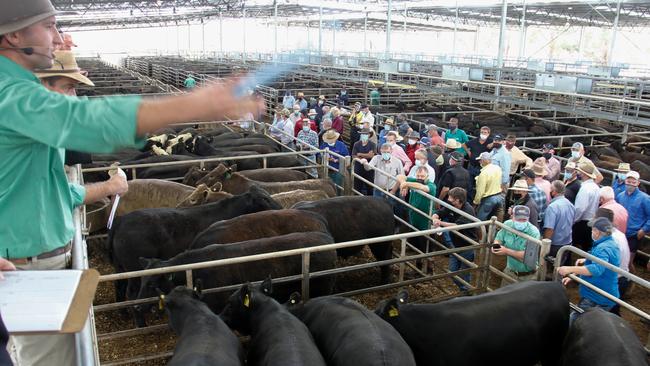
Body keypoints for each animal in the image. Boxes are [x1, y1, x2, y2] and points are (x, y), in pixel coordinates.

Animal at [108, 187, 278, 310]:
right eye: (265, 199)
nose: (280, 207)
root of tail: (121, 220)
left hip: (120, 267)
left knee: (119, 286)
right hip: (134, 270)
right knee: (131, 292)